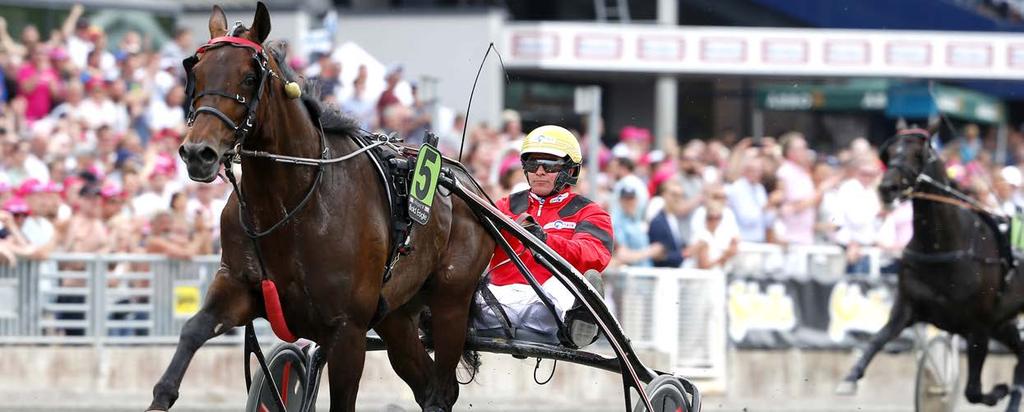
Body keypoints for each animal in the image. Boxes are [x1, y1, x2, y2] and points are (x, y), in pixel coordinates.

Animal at [146, 2, 493, 407]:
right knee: (427, 384)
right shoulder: (240, 286)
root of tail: (468, 183)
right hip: (394, 314)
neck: (290, 206)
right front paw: (162, 395)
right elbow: (193, 329)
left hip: (451, 299)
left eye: (248, 77)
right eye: (196, 72)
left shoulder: (348, 331)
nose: (198, 153)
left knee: (441, 387)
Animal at [835, 128, 1024, 407]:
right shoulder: (907, 307)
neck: (941, 248)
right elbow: (878, 339)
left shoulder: (979, 326)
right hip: (1003, 323)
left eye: (918, 153)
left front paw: (998, 391)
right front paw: (850, 377)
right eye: (890, 153)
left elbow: (973, 390)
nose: (887, 188)